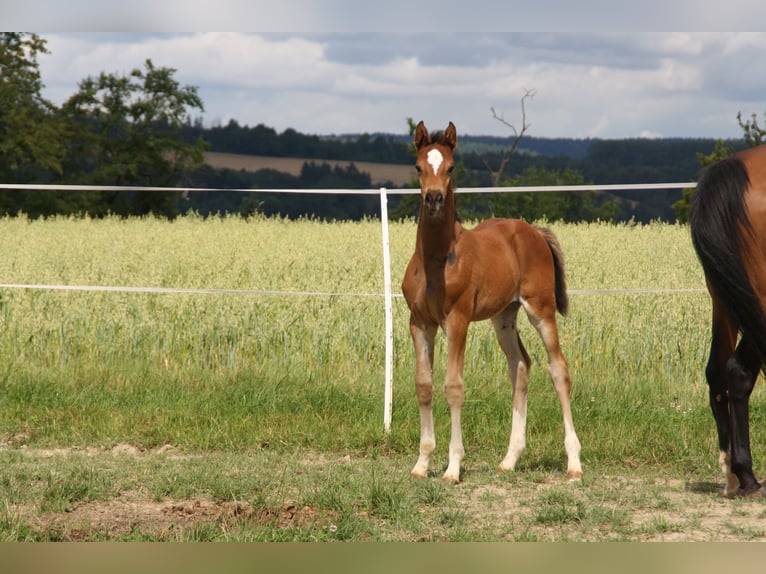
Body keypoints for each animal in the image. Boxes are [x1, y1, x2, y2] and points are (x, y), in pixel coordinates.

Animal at [400, 122, 584, 486]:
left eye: (451, 167)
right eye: (418, 167)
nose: (434, 199)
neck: (436, 259)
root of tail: (534, 231)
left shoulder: (456, 320)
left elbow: (453, 386)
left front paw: (452, 468)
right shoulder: (420, 323)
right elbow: (424, 385)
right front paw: (421, 464)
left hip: (540, 310)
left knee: (558, 368)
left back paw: (574, 463)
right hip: (504, 317)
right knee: (521, 365)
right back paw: (510, 460)